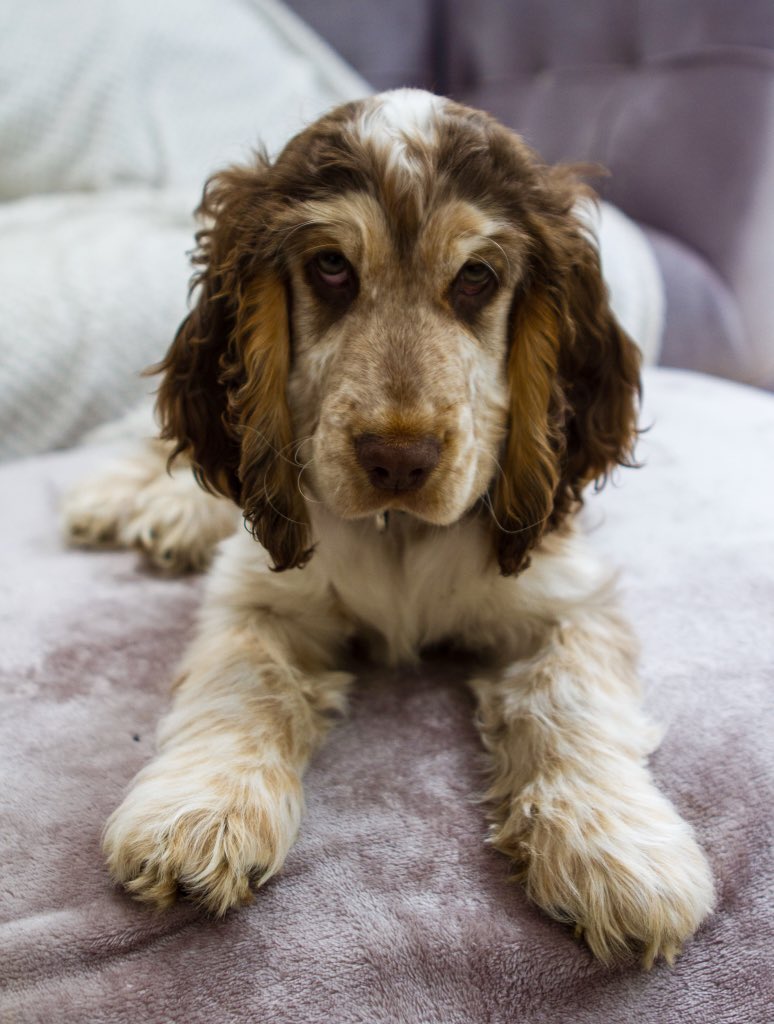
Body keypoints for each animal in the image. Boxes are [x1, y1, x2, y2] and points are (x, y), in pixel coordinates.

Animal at [65, 88, 712, 966]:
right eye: (332, 266)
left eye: (476, 277)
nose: (399, 459)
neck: (398, 532)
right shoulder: (260, 593)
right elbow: (245, 679)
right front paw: (200, 814)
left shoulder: (569, 596)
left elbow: (567, 697)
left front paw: (616, 856)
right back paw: (138, 503)